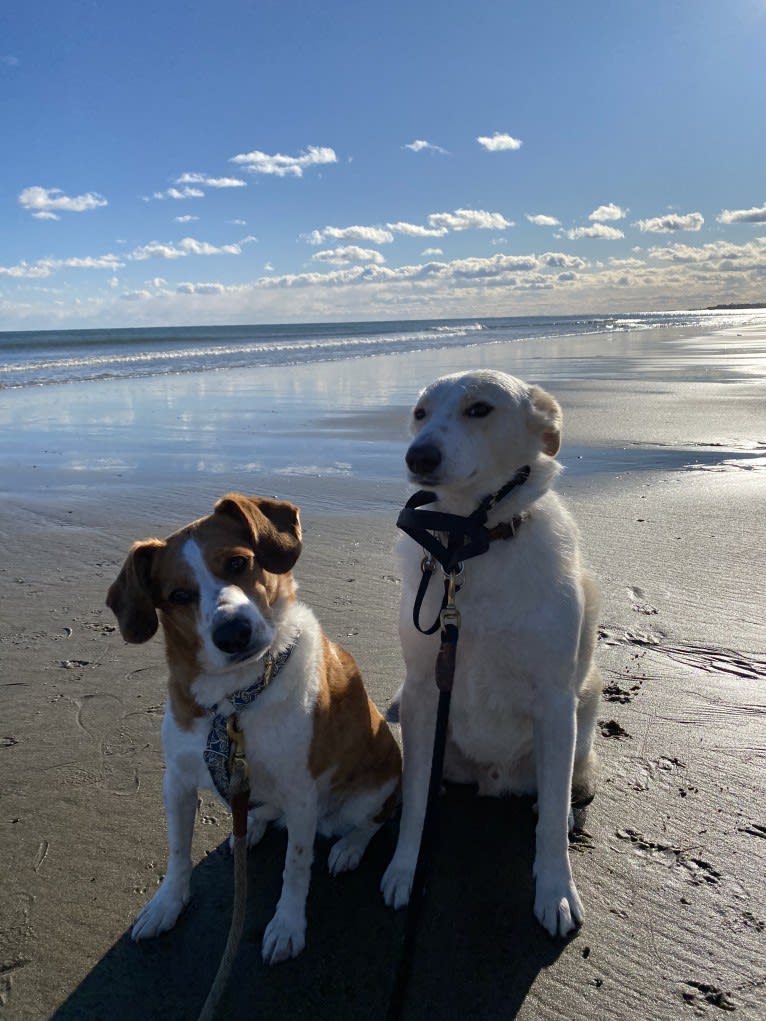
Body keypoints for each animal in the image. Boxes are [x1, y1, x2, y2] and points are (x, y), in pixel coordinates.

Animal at [110, 494, 404, 963]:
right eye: (178, 595)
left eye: (238, 562)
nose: (233, 632)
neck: (236, 700)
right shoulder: (176, 782)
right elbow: (177, 852)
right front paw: (167, 903)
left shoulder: (302, 793)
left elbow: (296, 866)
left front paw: (287, 925)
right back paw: (251, 828)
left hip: (372, 791)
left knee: (373, 820)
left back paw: (348, 848)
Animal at [381, 371, 604, 935]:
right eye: (419, 413)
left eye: (479, 409)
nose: (418, 457)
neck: (470, 541)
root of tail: (493, 780)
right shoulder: (422, 690)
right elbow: (414, 802)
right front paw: (405, 867)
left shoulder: (554, 699)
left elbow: (550, 825)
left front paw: (555, 889)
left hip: (582, 706)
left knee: (565, 780)